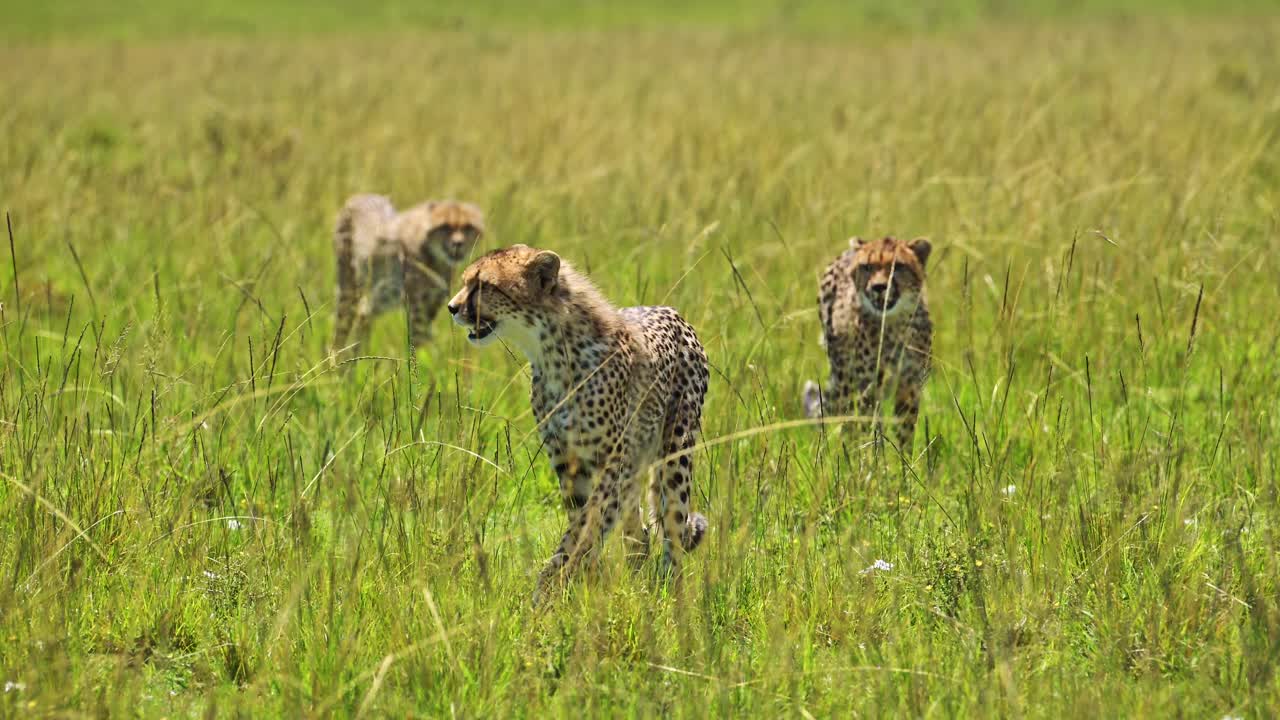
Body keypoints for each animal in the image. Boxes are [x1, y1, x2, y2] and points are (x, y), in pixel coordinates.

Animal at [330, 194, 484, 361]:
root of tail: (360, 196)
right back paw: (336, 361)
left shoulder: (430, 307)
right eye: (445, 227)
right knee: (343, 327)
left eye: (468, 227)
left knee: (364, 315)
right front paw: (407, 366)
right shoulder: (416, 310)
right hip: (349, 289)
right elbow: (413, 346)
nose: (458, 243)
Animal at [446, 244, 710, 602]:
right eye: (466, 282)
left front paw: (548, 592)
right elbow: (583, 524)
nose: (452, 308)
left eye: (485, 286)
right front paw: (575, 588)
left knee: (672, 527)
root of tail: (671, 311)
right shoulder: (568, 462)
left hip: (675, 452)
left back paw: (669, 591)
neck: (553, 351)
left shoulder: (610, 462)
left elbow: (585, 528)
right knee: (639, 533)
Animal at [802, 236, 933, 452]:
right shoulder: (869, 387)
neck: (893, 323)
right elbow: (873, 430)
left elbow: (905, 431)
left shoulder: (909, 386)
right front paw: (875, 459)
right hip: (844, 379)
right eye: (867, 267)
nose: (879, 287)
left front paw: (906, 459)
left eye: (898, 266)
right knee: (846, 418)